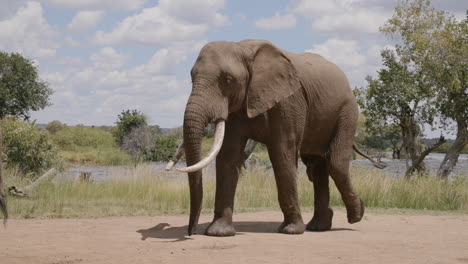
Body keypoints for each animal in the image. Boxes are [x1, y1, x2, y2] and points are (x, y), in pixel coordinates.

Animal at [166, 39, 386, 237]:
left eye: (227, 79)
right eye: (191, 78)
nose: (191, 232)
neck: (243, 48)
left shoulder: (288, 102)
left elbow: (282, 155)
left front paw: (291, 231)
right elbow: (228, 156)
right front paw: (219, 233)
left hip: (347, 111)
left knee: (336, 164)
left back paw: (356, 215)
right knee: (316, 167)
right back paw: (319, 226)